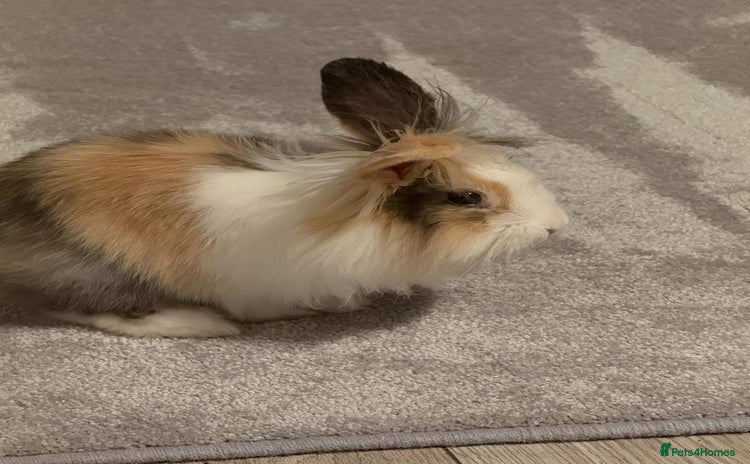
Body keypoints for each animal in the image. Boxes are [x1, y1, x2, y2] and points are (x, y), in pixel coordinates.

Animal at [0, 58, 569, 338]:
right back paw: (203, 326)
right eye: (466, 197)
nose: (554, 225)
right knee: (87, 310)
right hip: (104, 273)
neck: (353, 214)